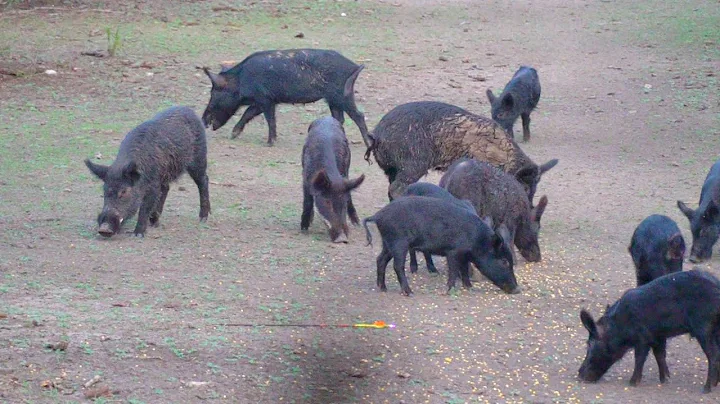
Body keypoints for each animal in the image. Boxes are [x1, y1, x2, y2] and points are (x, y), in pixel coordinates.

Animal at [84, 106, 210, 238]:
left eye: (124, 191)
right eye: (104, 190)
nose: (104, 229)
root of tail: (190, 110)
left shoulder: (153, 183)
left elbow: (144, 207)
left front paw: (137, 234)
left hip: (198, 158)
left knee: (203, 180)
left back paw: (203, 218)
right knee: (166, 188)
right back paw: (154, 222)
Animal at [201, 49, 372, 147]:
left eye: (214, 93)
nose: (203, 120)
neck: (241, 80)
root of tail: (355, 66)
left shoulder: (265, 99)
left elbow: (269, 119)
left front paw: (269, 143)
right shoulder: (262, 101)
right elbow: (248, 113)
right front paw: (233, 135)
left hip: (342, 95)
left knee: (359, 115)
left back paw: (367, 142)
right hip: (333, 100)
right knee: (339, 118)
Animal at [362, 196, 518, 296]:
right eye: (504, 261)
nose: (518, 290)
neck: (478, 240)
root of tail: (378, 215)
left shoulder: (464, 255)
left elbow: (464, 270)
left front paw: (470, 287)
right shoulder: (453, 251)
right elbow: (454, 270)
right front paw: (449, 291)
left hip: (387, 243)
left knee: (380, 259)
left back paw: (383, 288)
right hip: (399, 243)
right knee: (397, 266)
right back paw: (409, 292)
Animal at [365, 101, 557, 201]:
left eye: (535, 188)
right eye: (524, 187)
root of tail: (377, 135)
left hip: (391, 169)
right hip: (412, 164)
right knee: (396, 188)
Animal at [578, 269, 720, 393]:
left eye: (589, 344)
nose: (579, 375)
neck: (621, 323)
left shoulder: (642, 338)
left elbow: (640, 358)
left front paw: (632, 383)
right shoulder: (658, 336)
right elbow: (660, 355)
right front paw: (664, 380)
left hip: (704, 329)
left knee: (713, 355)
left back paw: (706, 389)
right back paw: (714, 384)